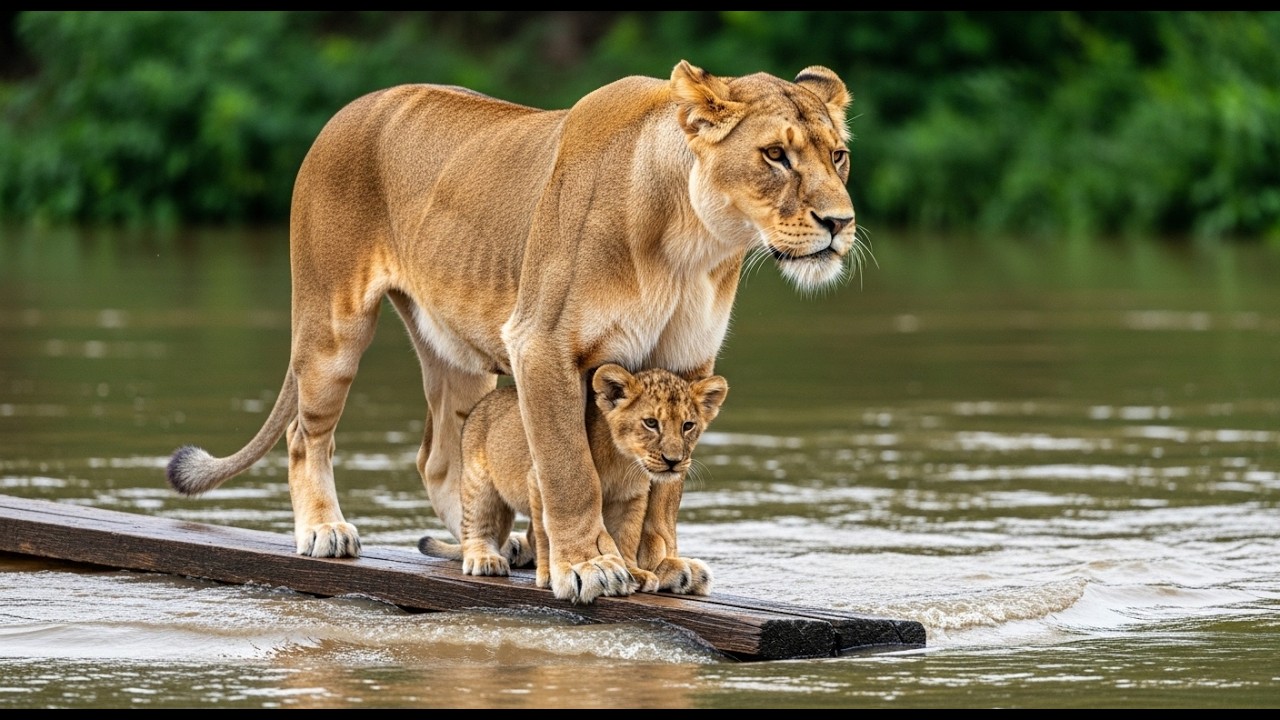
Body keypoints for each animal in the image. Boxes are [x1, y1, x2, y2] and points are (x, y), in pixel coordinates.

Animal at [419, 364, 728, 598]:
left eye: (688, 426)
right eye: (651, 423)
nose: (673, 460)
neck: (622, 459)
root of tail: (484, 402)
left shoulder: (630, 498)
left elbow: (626, 537)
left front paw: (634, 573)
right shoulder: (540, 481)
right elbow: (546, 535)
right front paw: (548, 575)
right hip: (479, 483)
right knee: (478, 524)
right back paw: (485, 559)